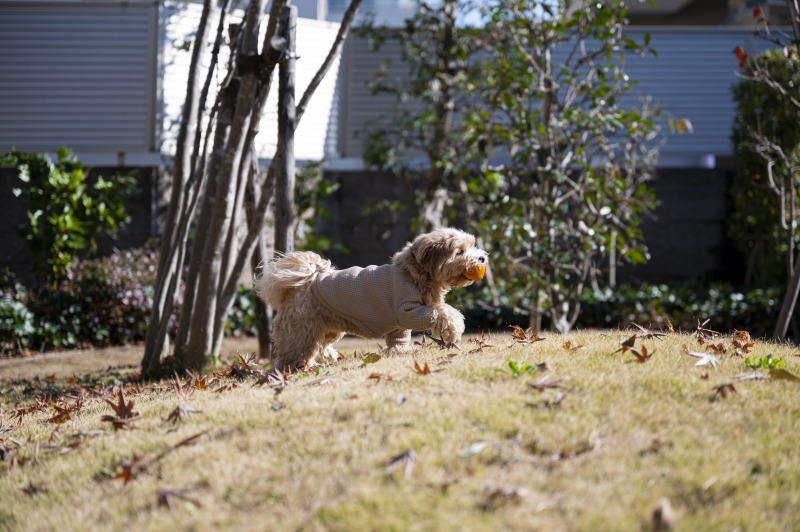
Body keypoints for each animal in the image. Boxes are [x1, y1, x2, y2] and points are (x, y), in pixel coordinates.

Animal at [253, 228, 488, 370]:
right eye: (460, 252)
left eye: (472, 246)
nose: (482, 258)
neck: (413, 275)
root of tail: (307, 280)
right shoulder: (406, 309)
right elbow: (442, 311)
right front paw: (455, 328)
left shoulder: (399, 324)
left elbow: (399, 339)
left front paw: (401, 351)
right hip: (302, 329)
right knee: (291, 353)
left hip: (328, 327)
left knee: (320, 345)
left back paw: (328, 357)